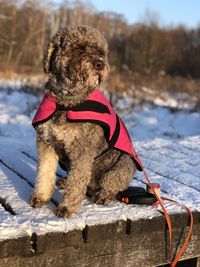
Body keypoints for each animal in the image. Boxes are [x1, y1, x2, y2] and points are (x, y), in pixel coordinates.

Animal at [29, 25, 141, 218]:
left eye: (101, 53)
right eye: (79, 48)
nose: (100, 64)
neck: (66, 102)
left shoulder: (82, 150)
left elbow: (77, 182)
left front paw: (67, 207)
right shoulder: (46, 143)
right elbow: (44, 173)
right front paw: (40, 197)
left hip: (123, 164)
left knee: (112, 186)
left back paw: (103, 195)